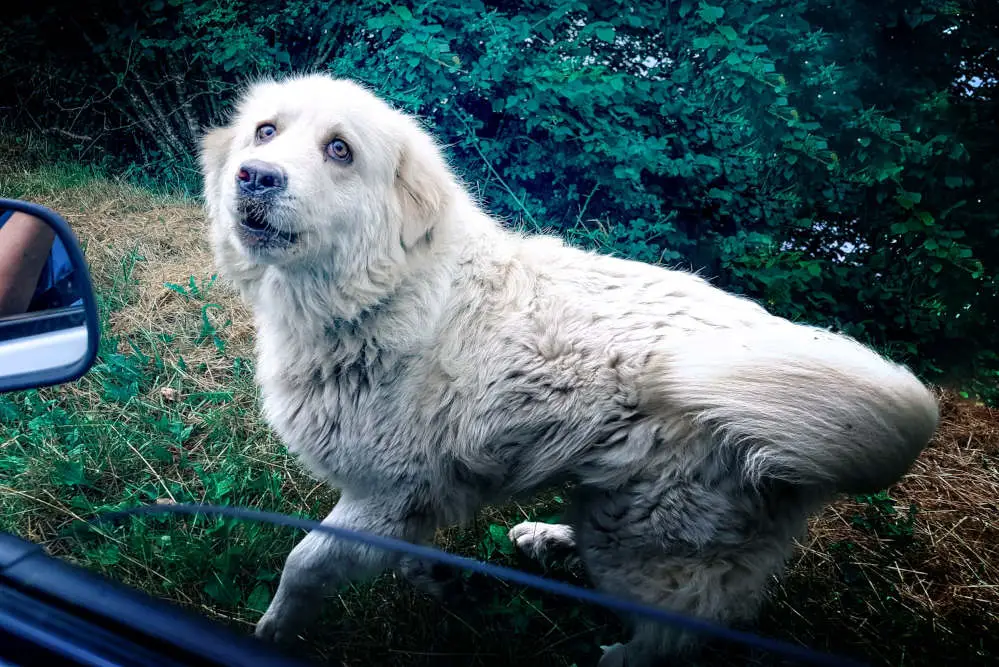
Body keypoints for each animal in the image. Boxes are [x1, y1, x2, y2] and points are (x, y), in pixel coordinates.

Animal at [199, 75, 940, 664]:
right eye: (266, 131)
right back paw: (545, 539)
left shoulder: (382, 492)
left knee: (673, 637)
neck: (382, 294)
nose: (255, 175)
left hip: (645, 546)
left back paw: (614, 654)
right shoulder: (405, 501)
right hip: (608, 505)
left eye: (340, 150)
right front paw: (436, 581)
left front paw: (271, 632)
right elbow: (400, 553)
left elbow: (302, 564)